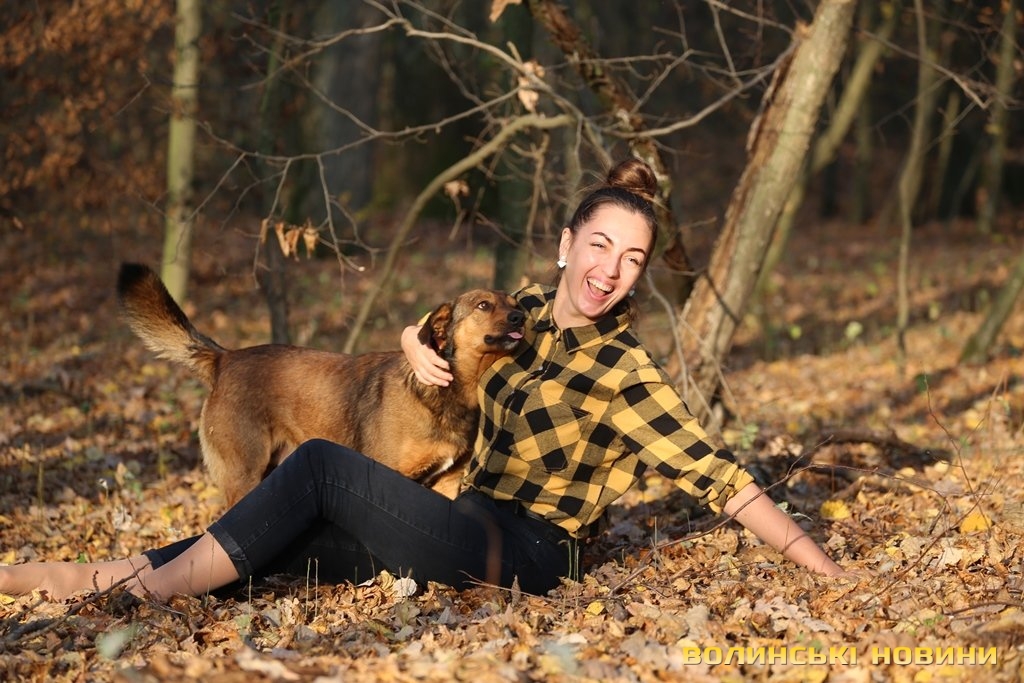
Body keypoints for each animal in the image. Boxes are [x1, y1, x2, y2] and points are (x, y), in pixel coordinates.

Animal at [116, 263, 524, 505]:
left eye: (513, 301)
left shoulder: (447, 482)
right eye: (484, 305)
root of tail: (225, 359)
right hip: (243, 473)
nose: (522, 315)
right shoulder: (390, 475)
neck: (450, 392)